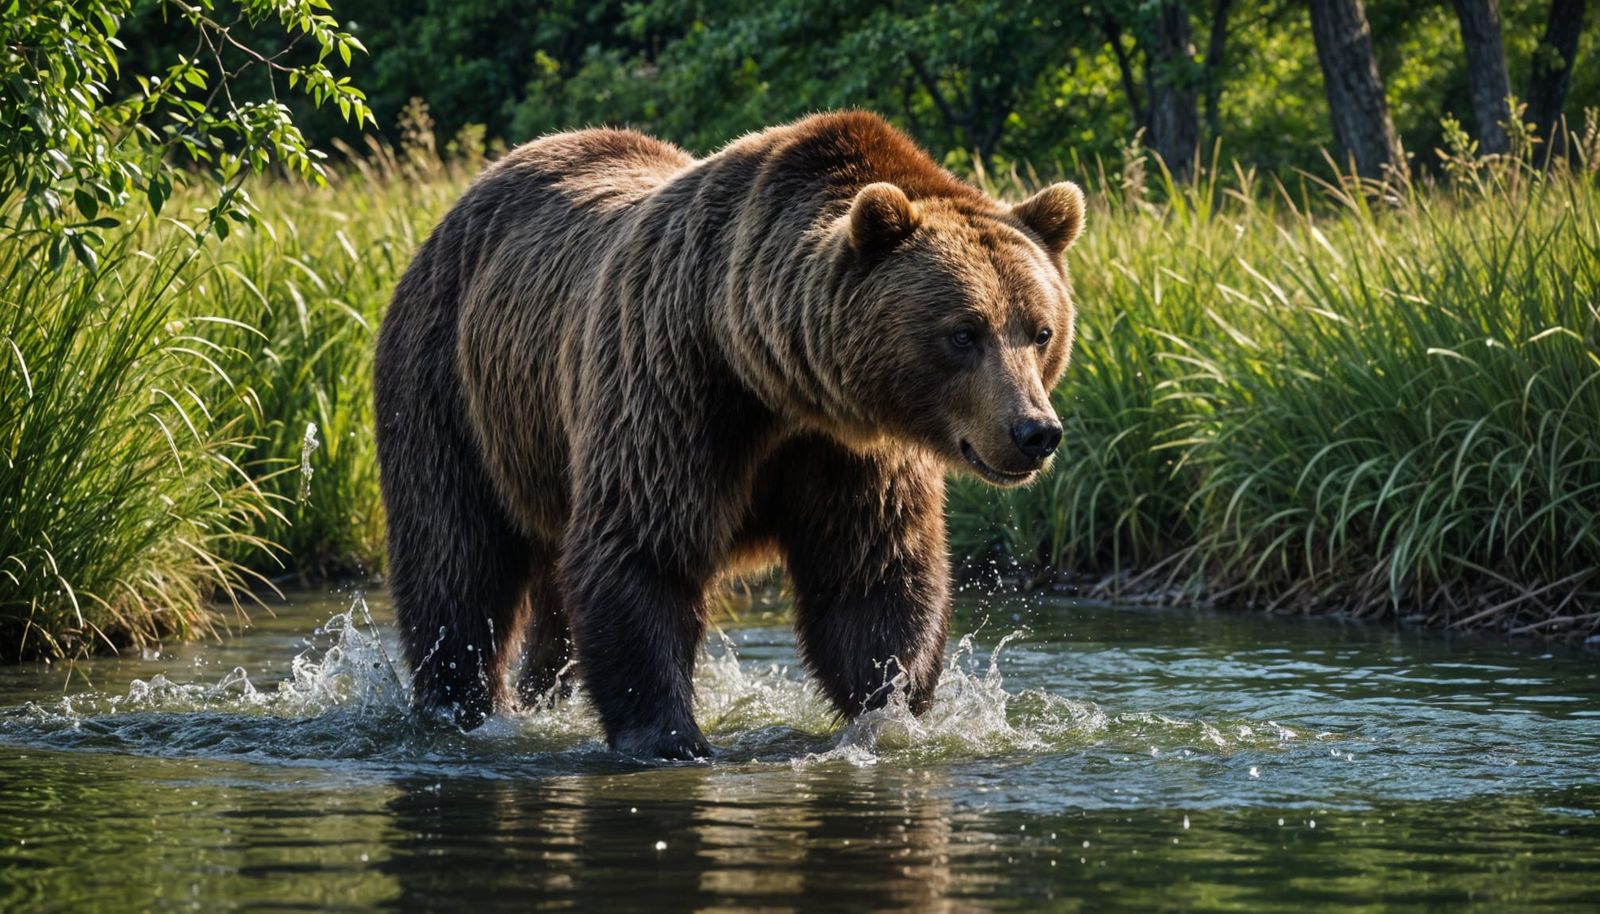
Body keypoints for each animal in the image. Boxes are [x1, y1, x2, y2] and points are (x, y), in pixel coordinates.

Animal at [374, 111, 1084, 759]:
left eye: (1040, 330)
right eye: (964, 332)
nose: (1034, 431)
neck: (774, 378)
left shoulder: (852, 454)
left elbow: (874, 576)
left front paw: (889, 714)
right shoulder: (674, 382)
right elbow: (643, 549)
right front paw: (669, 736)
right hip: (450, 385)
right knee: (455, 556)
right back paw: (458, 702)